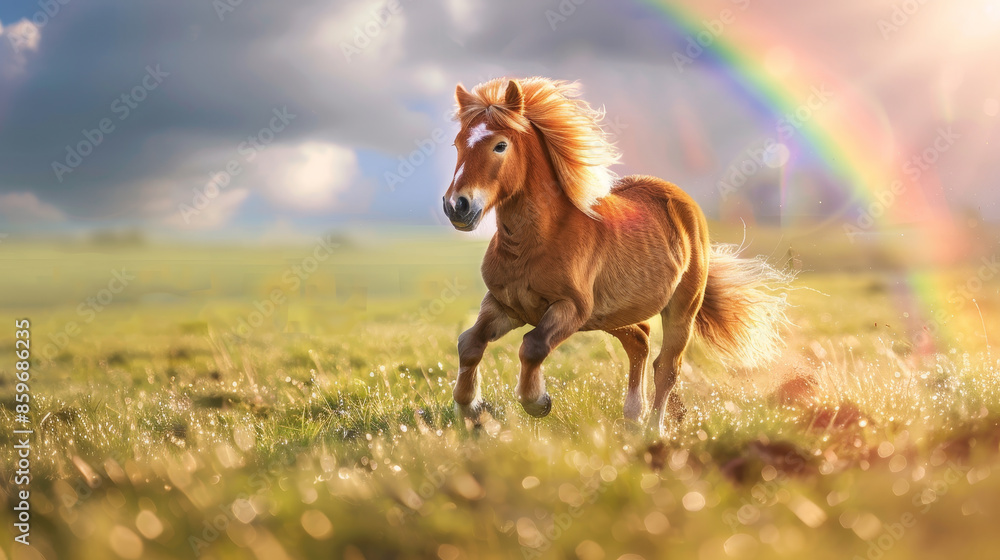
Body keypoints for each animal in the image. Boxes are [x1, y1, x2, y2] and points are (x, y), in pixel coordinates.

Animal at [441, 77, 792, 433]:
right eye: (457, 144)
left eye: (500, 145)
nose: (458, 206)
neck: (533, 244)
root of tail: (683, 203)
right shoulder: (505, 305)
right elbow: (469, 344)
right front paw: (470, 408)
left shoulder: (571, 308)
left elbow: (533, 345)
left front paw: (537, 401)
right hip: (613, 315)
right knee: (640, 341)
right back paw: (634, 415)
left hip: (680, 310)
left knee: (667, 366)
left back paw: (654, 429)